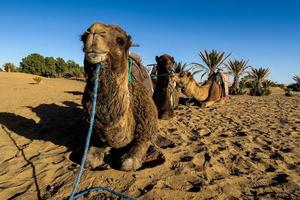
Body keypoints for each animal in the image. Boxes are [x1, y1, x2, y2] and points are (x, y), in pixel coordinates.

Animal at [81, 22, 158, 171]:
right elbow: (89, 159)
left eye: (120, 40)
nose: (94, 30)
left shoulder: (146, 129)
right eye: (82, 38)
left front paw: (130, 159)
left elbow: (128, 162)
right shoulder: (98, 134)